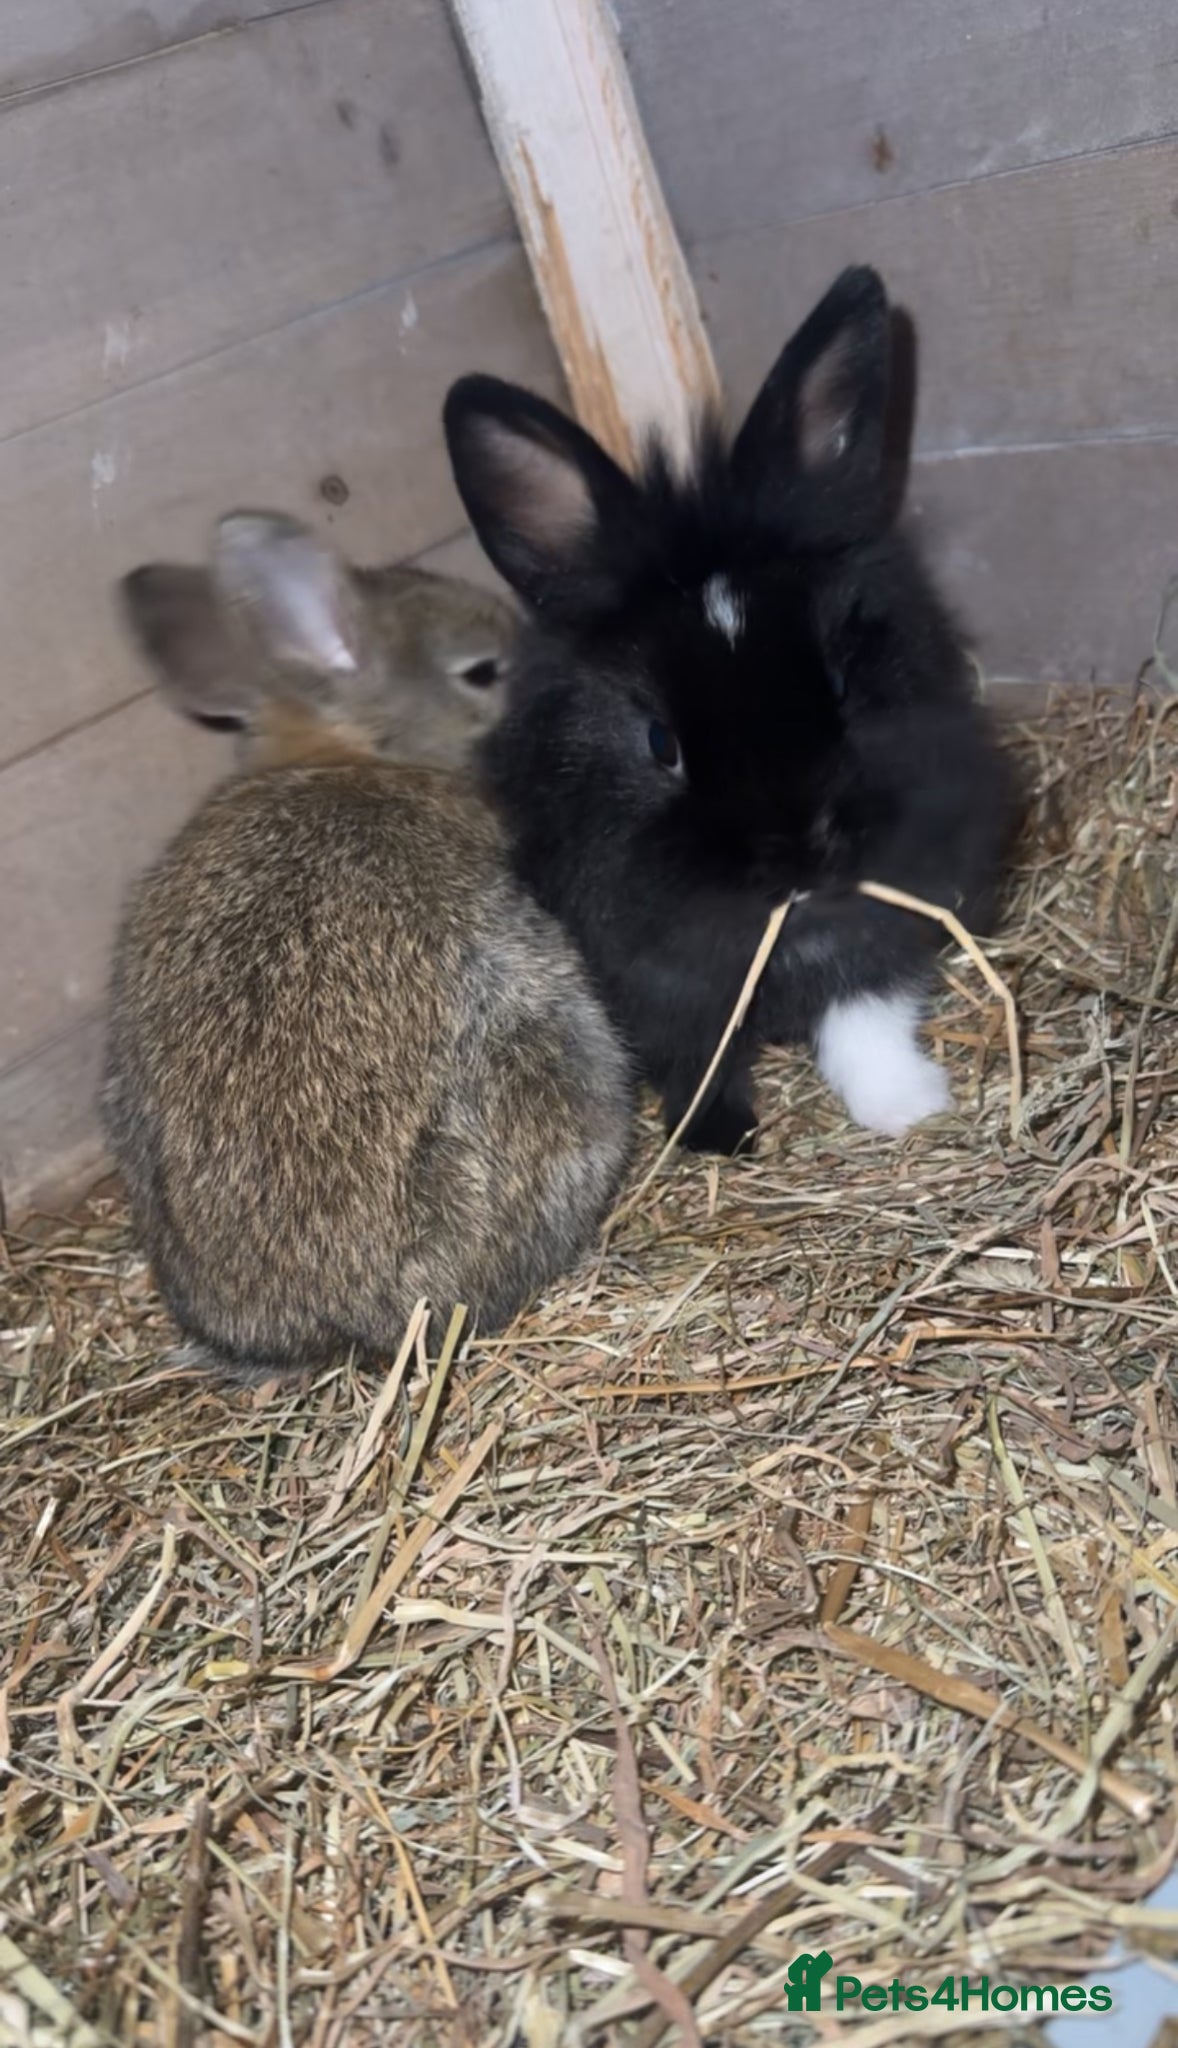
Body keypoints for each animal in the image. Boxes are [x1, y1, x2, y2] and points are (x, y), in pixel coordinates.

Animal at [442, 265, 1019, 1157]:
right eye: (660, 743)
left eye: (842, 688)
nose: (801, 860)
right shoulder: (647, 978)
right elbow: (696, 1053)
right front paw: (719, 1136)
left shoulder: (886, 916)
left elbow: (865, 1016)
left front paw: (906, 1106)